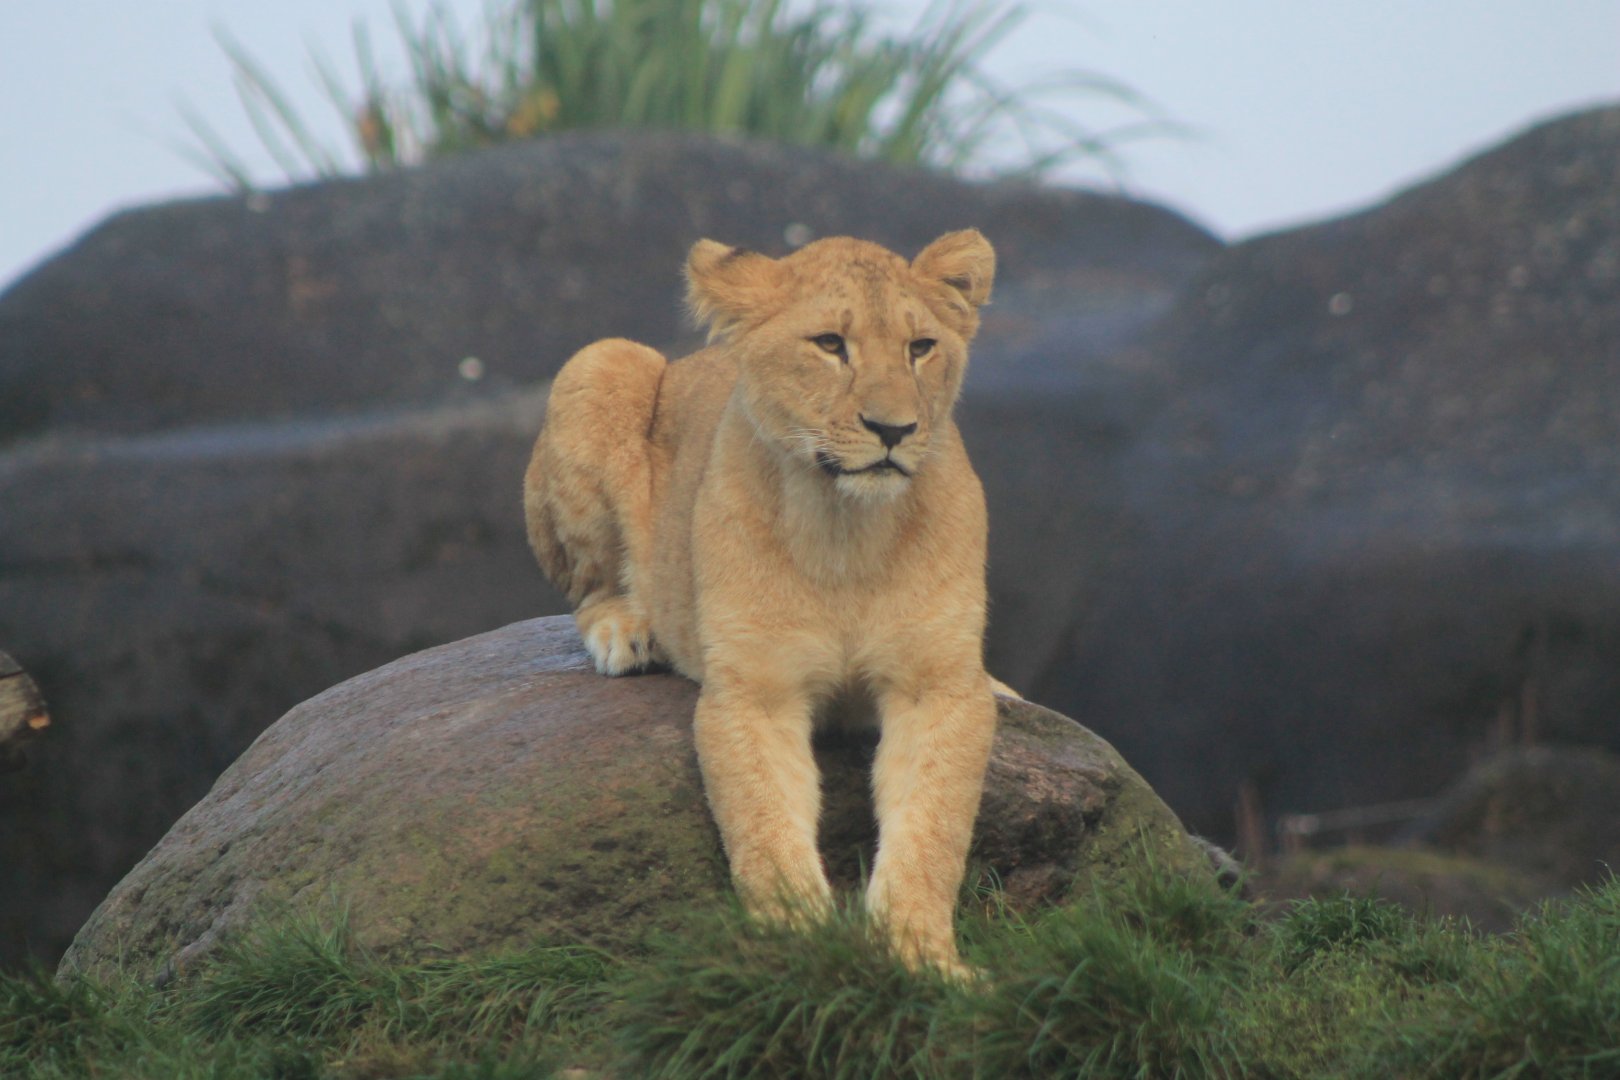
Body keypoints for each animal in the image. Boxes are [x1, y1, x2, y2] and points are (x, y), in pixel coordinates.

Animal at [522, 230, 999, 974]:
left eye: (921, 347)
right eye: (831, 343)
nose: (894, 429)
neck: (845, 529)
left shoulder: (940, 685)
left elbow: (932, 829)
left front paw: (923, 957)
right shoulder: (754, 690)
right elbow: (763, 822)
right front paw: (800, 946)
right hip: (599, 364)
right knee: (591, 587)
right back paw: (626, 632)